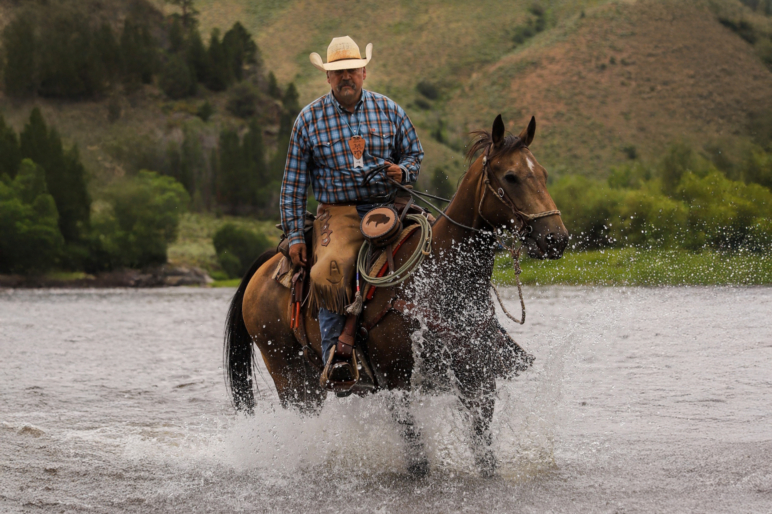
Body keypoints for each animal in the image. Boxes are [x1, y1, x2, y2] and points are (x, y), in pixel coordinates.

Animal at [222, 114, 568, 474]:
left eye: (543, 174)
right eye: (511, 176)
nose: (556, 238)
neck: (440, 278)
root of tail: (270, 263)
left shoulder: (477, 379)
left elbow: (484, 452)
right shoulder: (396, 381)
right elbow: (417, 458)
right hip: (289, 375)